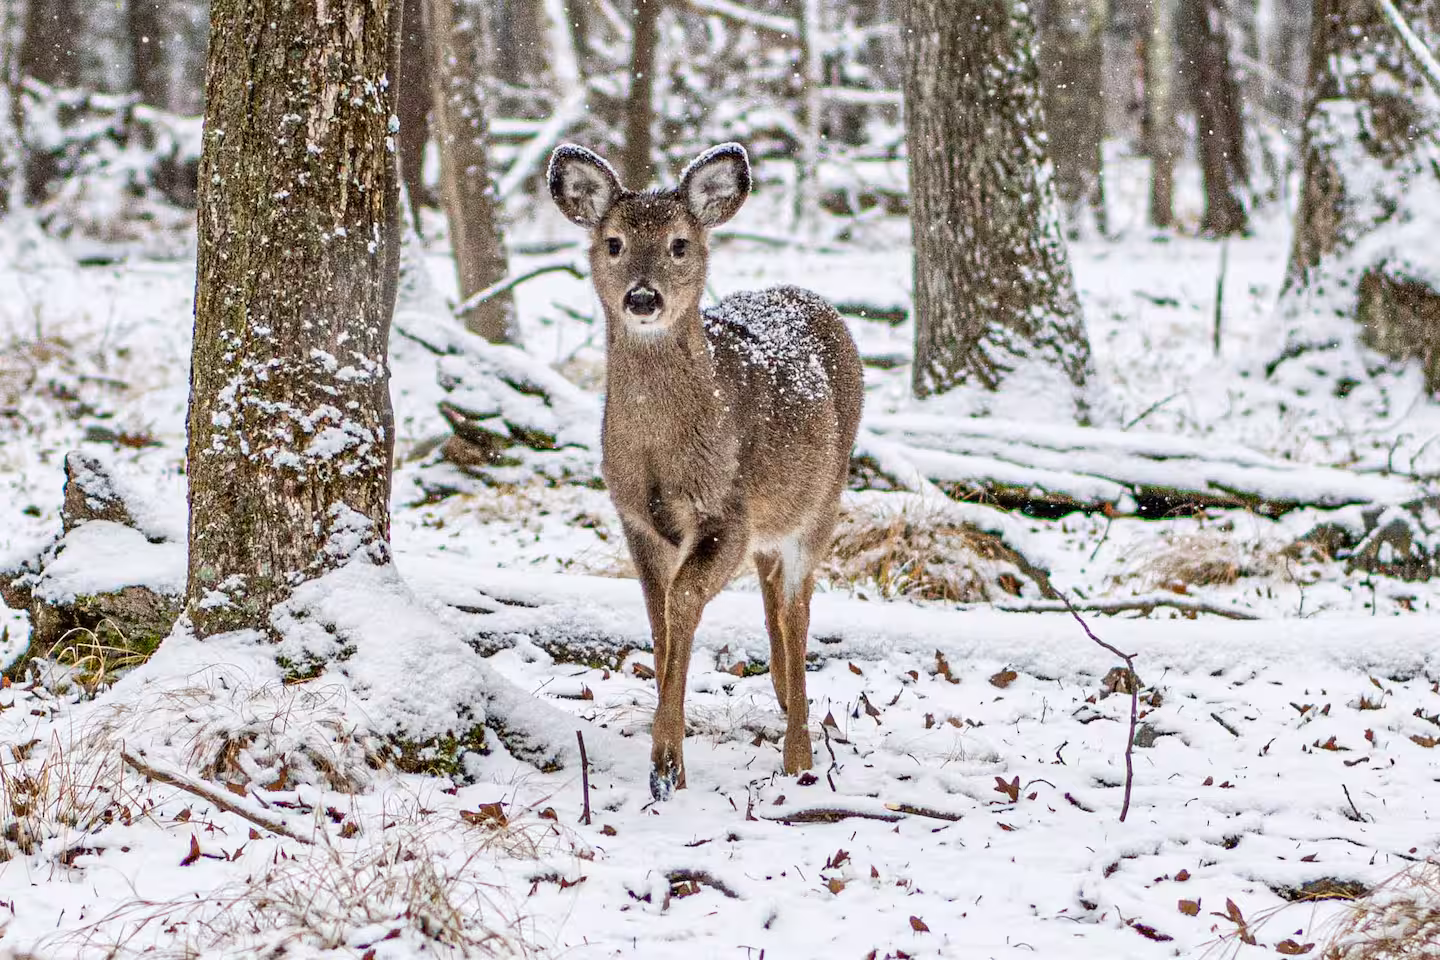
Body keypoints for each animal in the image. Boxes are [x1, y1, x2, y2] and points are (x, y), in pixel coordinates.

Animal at [547, 142, 863, 800]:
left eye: (678, 244)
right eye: (613, 242)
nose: (643, 298)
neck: (657, 456)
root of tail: (811, 297)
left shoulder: (727, 511)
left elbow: (683, 600)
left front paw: (666, 762)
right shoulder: (634, 518)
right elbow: (659, 622)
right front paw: (670, 755)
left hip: (823, 501)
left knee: (797, 611)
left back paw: (799, 752)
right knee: (773, 595)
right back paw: (782, 698)